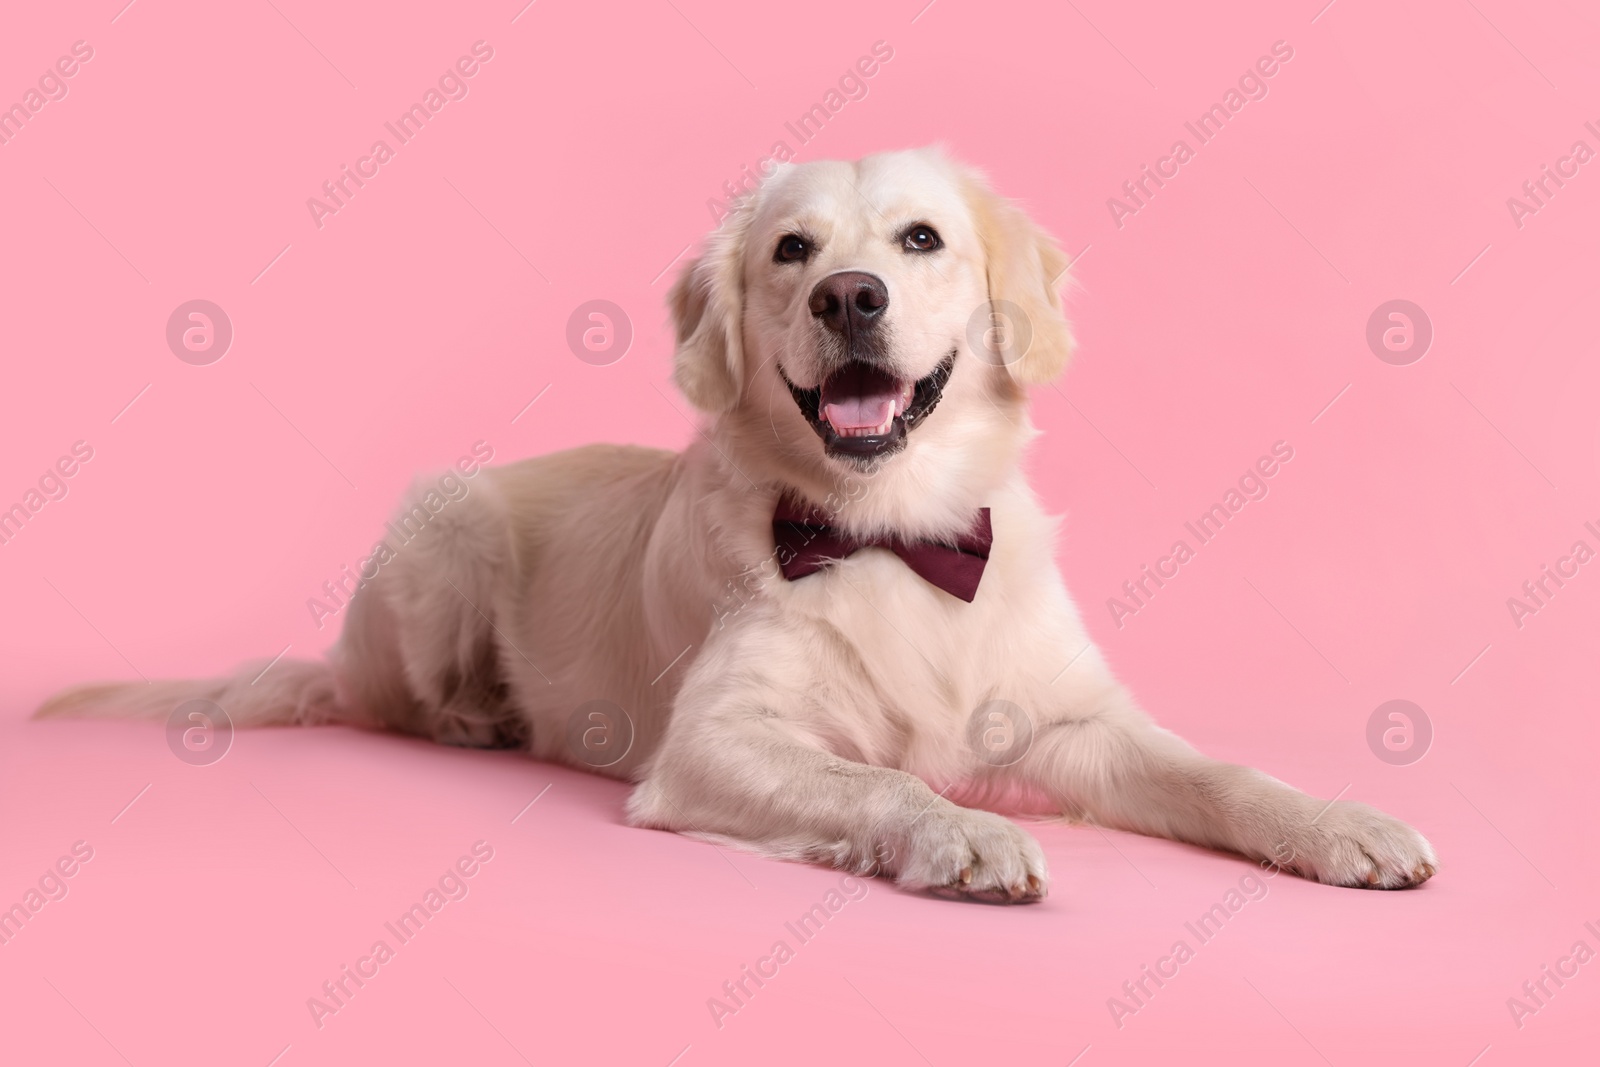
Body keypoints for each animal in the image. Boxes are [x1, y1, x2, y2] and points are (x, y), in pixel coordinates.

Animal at [40, 147, 1440, 902]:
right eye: (790, 249)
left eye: (920, 238)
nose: (849, 295)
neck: (893, 531)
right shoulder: (714, 741)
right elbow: (877, 775)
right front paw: (964, 830)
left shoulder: (1077, 723)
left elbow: (1218, 772)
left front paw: (1341, 824)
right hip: (443, 534)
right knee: (396, 703)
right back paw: (478, 715)